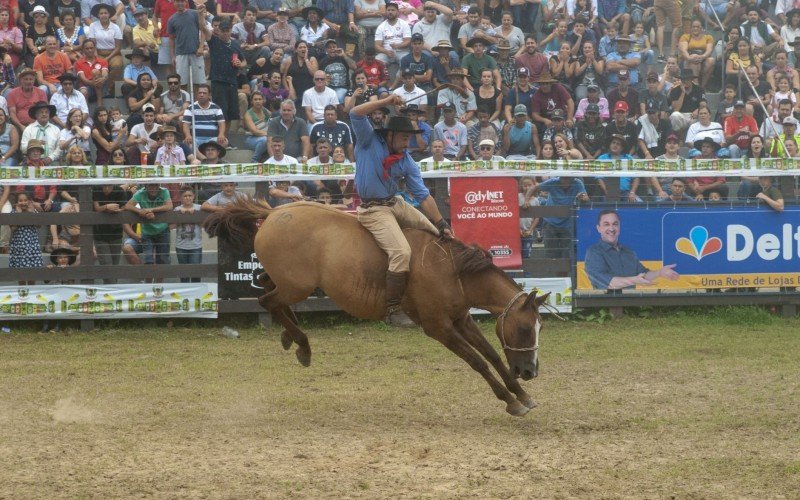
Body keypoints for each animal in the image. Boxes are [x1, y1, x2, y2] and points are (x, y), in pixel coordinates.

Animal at [205, 197, 552, 416]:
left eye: (539, 327)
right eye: (524, 327)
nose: (530, 371)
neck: (452, 269)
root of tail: (273, 214)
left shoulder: (461, 319)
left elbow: (491, 354)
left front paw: (522, 395)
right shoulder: (438, 327)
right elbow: (477, 361)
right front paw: (511, 400)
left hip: (289, 282)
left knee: (265, 284)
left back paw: (289, 337)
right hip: (297, 285)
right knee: (267, 300)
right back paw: (302, 345)